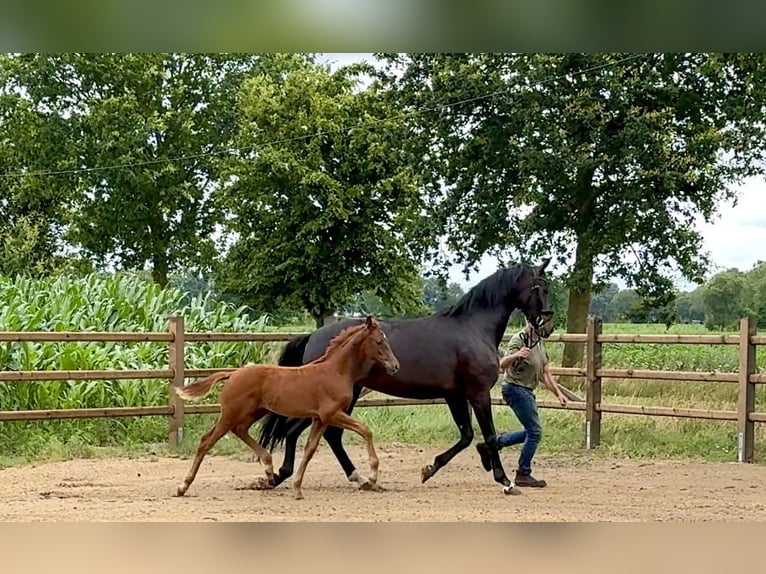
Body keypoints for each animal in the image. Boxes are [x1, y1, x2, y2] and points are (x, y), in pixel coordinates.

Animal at [173, 315, 400, 500]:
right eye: (379, 342)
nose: (395, 366)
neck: (335, 371)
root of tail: (232, 374)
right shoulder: (332, 414)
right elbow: (366, 430)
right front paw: (372, 476)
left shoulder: (320, 419)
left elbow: (309, 450)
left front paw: (297, 488)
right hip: (231, 413)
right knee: (206, 441)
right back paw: (182, 486)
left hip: (255, 412)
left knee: (240, 430)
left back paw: (268, 467)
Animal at [254, 260, 554, 495]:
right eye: (543, 287)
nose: (548, 325)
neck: (473, 328)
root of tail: (313, 337)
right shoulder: (477, 393)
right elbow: (489, 436)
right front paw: (505, 482)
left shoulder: (455, 395)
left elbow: (467, 436)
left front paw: (429, 468)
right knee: (304, 431)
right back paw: (290, 475)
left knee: (325, 434)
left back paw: (348, 478)